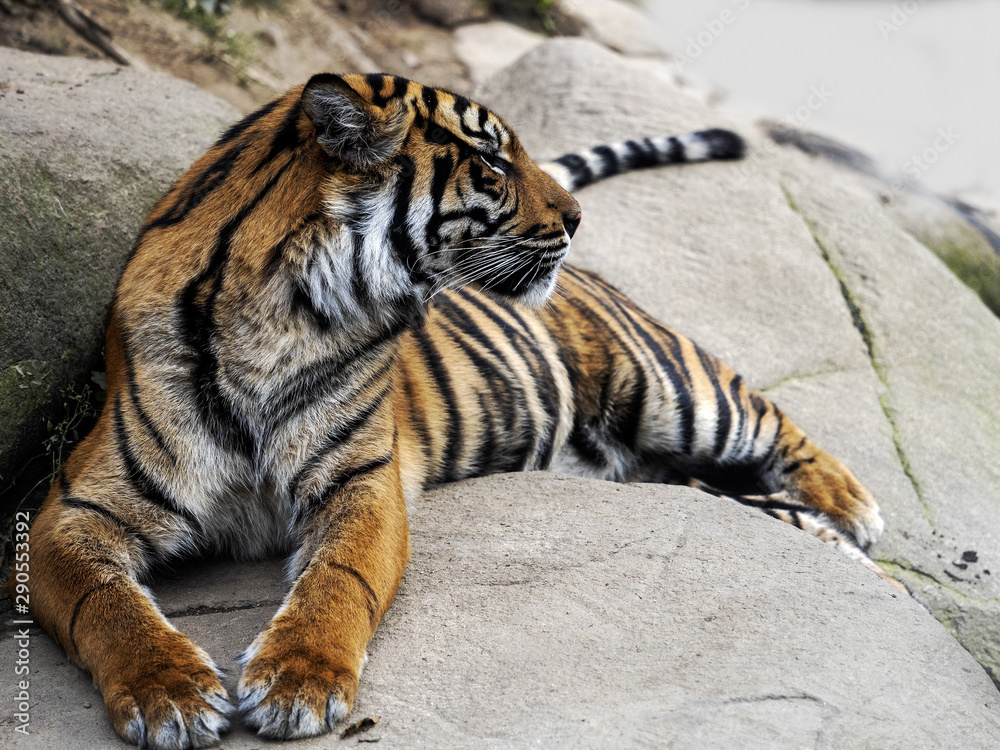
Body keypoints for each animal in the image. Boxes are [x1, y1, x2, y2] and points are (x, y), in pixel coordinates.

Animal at [25, 73, 893, 750]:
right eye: (492, 159)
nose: (577, 219)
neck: (283, 316)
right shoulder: (73, 512)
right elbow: (107, 603)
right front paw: (167, 693)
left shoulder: (364, 485)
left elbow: (337, 581)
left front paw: (296, 682)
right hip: (654, 465)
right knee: (753, 501)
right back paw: (837, 546)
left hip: (667, 388)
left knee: (768, 415)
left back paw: (856, 508)